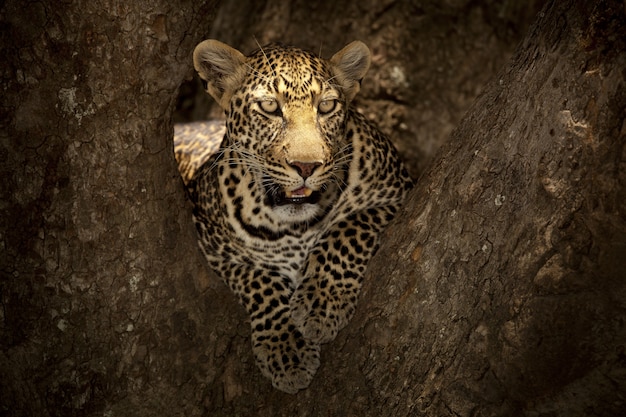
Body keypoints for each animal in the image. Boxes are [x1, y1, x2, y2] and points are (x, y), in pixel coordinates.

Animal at [173, 39, 412, 394]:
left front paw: (321, 305)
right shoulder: (212, 246)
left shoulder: (397, 193)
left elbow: (346, 230)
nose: (306, 166)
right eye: (270, 107)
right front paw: (287, 350)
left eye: (326, 106)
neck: (295, 225)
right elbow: (260, 280)